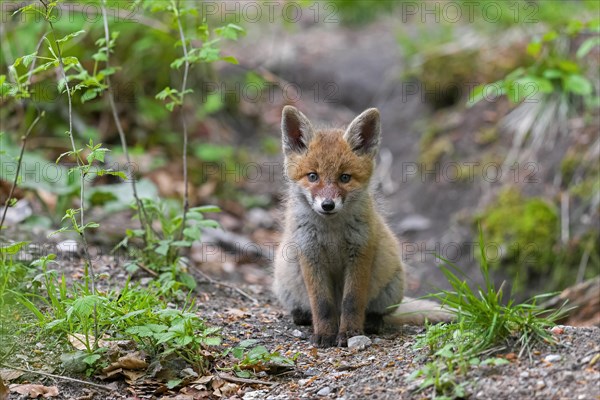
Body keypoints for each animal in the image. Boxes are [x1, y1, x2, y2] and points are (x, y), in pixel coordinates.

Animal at [274, 105, 450, 346]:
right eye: (312, 176)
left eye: (345, 178)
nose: (327, 205)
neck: (332, 232)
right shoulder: (310, 254)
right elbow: (322, 305)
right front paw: (325, 334)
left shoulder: (360, 253)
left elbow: (352, 302)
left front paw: (349, 333)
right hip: (285, 282)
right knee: (306, 309)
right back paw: (303, 316)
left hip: (391, 286)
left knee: (380, 312)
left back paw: (373, 322)